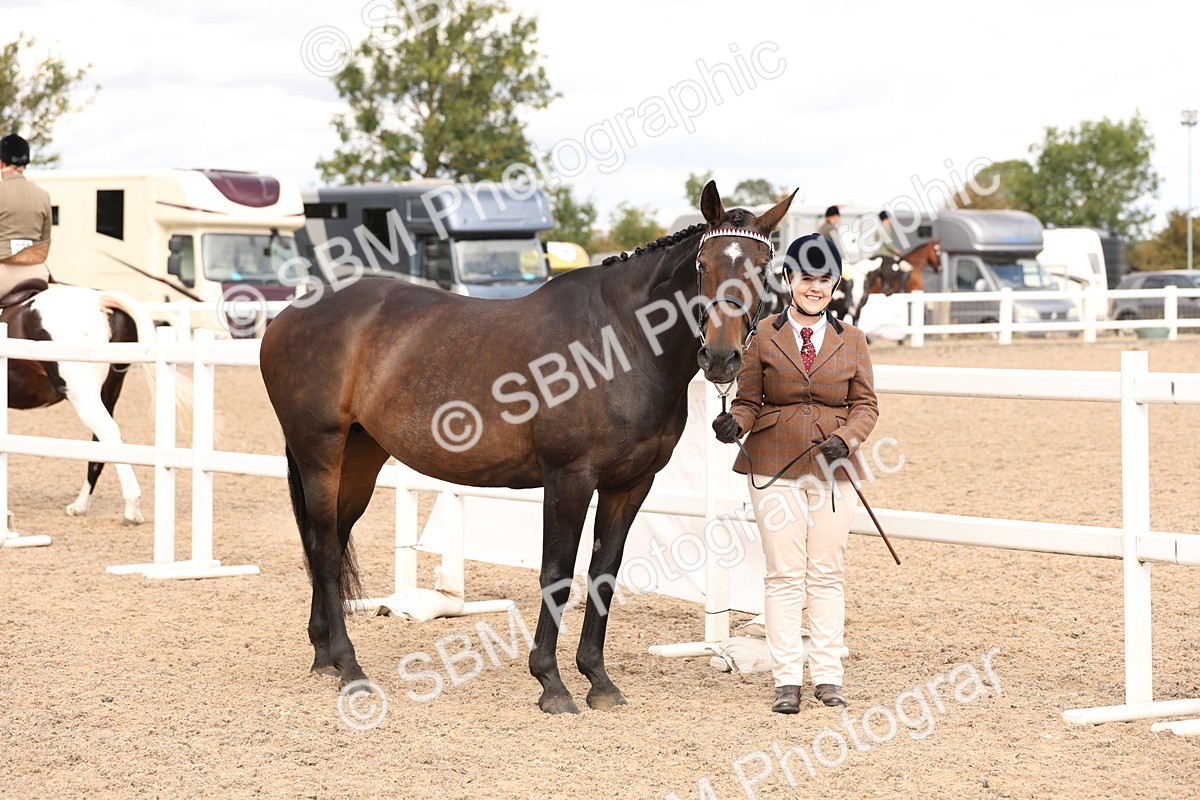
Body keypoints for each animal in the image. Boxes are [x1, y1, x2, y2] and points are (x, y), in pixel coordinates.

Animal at [3, 282, 156, 526]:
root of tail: (99, 299)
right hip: (107, 393)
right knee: (101, 441)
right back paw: (81, 505)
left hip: (83, 395)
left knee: (109, 433)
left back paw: (132, 507)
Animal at [259, 181, 794, 714]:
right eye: (703, 264)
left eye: (763, 267)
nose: (720, 357)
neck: (620, 341)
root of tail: (288, 315)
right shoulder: (568, 478)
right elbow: (556, 573)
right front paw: (551, 683)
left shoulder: (631, 485)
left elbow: (603, 573)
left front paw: (598, 680)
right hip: (320, 454)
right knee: (324, 546)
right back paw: (349, 667)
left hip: (360, 459)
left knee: (328, 540)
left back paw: (325, 658)